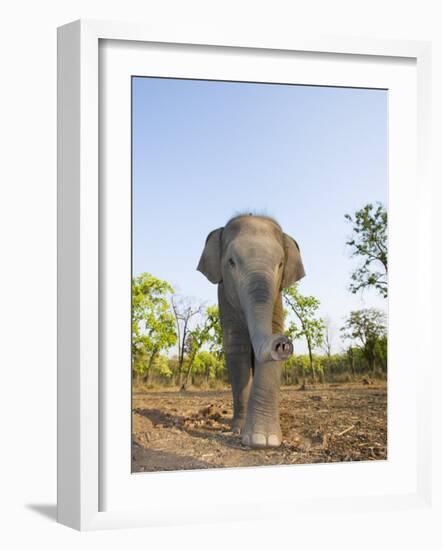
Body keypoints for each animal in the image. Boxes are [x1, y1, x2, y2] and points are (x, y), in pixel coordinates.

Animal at [197, 213, 304, 450]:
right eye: (231, 262)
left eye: (280, 264)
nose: (283, 344)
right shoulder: (224, 295)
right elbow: (237, 348)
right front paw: (239, 431)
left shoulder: (276, 297)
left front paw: (265, 440)